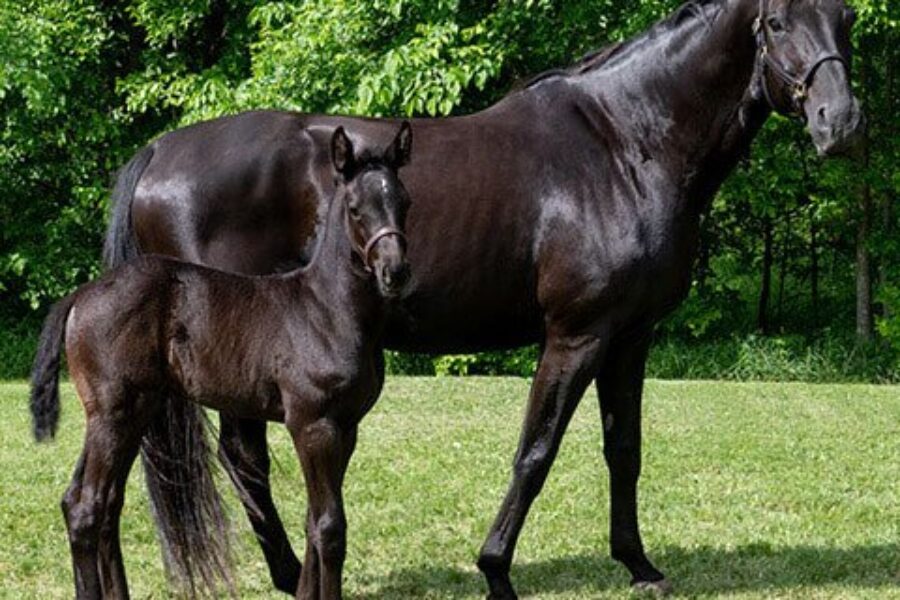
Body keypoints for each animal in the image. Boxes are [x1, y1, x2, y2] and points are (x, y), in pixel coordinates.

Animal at [30, 123, 413, 599]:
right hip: (112, 414)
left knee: (98, 502)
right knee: (87, 506)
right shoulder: (313, 424)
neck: (327, 307)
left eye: (405, 202)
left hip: (130, 414)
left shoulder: (346, 426)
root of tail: (80, 296)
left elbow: (313, 521)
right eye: (357, 209)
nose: (395, 272)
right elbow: (329, 527)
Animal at [102, 0, 864, 596]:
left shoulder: (631, 336)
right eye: (776, 22)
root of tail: (161, 152)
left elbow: (625, 448)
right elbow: (536, 450)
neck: (626, 144)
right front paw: (496, 568)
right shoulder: (577, 334)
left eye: (846, 17)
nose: (842, 123)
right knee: (245, 457)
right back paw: (293, 575)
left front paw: (639, 564)